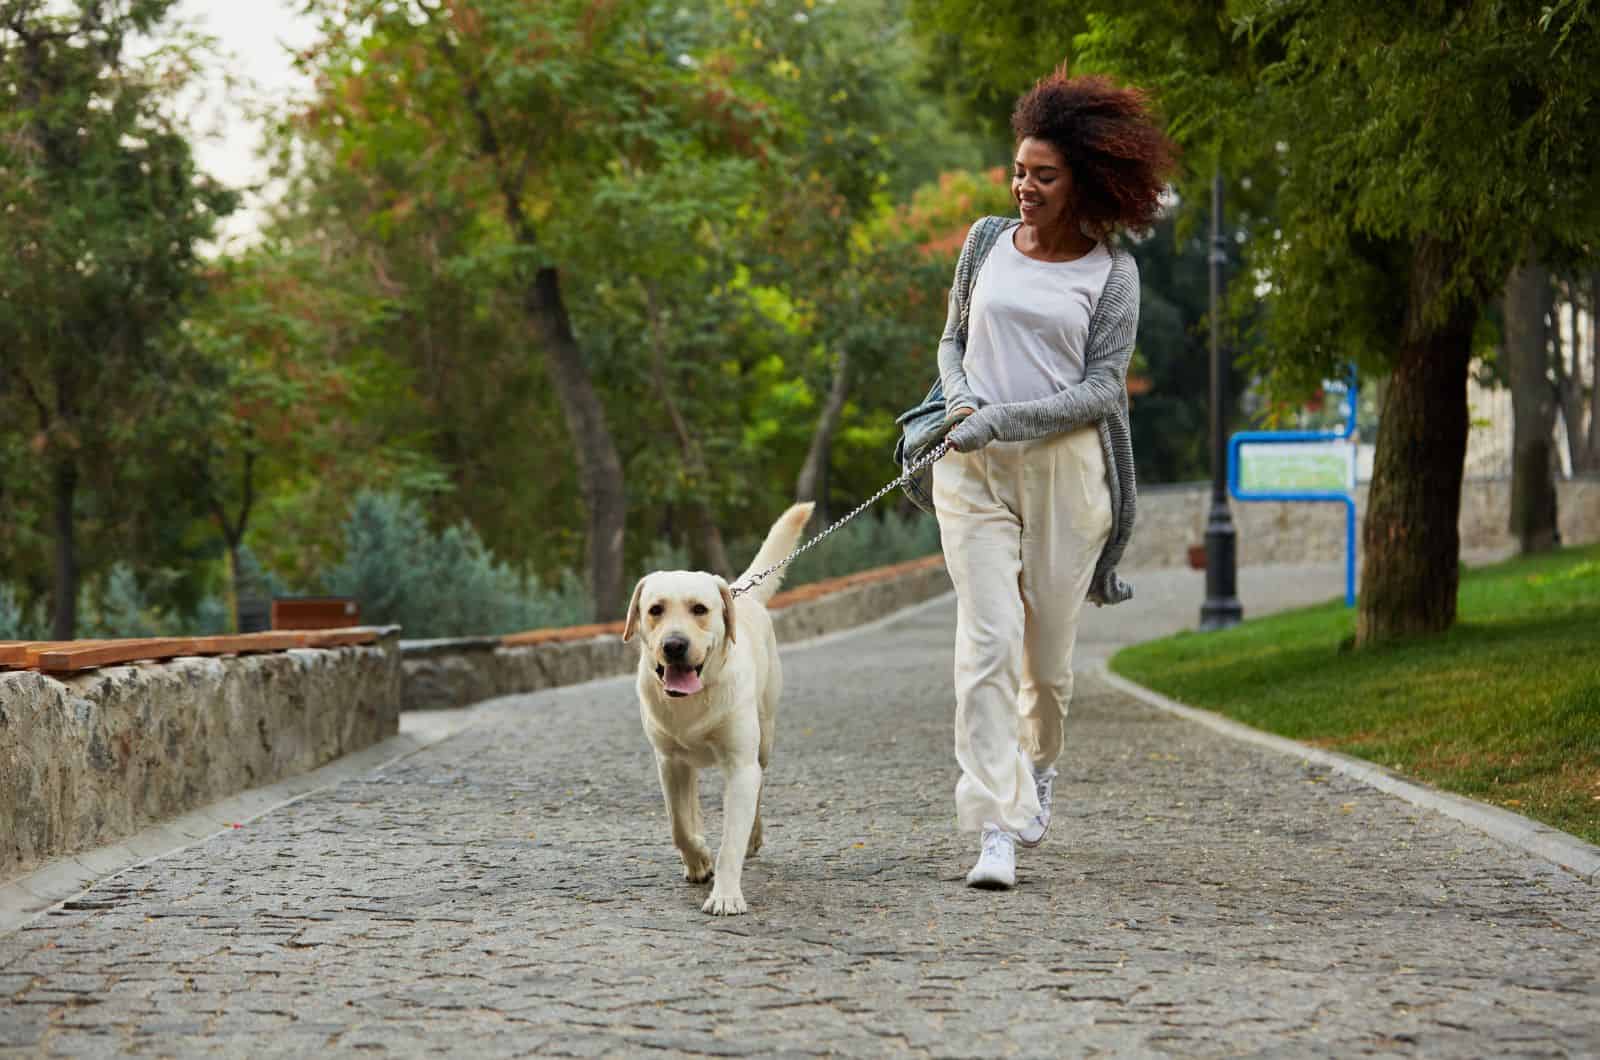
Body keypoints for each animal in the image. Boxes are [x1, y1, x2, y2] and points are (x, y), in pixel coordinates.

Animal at [620, 502, 812, 915]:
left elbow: (731, 841)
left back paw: (753, 836)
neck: (693, 699)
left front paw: (725, 895)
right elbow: (678, 824)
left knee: (759, 788)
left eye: (699, 609)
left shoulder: (740, 765)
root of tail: (742, 594)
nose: (674, 645)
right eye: (655, 609)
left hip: (764, 737)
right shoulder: (668, 761)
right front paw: (698, 860)